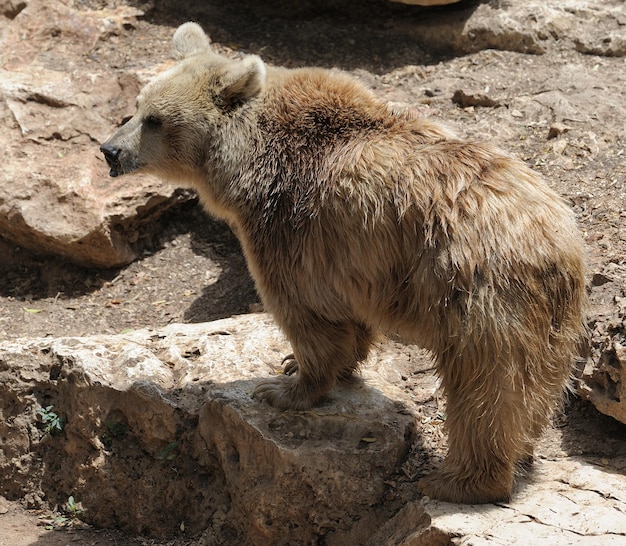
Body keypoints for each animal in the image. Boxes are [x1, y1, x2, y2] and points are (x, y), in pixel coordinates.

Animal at [101, 23, 584, 504]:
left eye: (155, 120)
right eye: (137, 106)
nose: (109, 150)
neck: (249, 161)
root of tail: (555, 240)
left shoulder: (289, 227)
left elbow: (306, 313)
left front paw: (285, 386)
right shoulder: (344, 257)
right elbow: (345, 319)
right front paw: (296, 364)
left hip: (476, 290)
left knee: (486, 385)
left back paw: (461, 480)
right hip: (554, 318)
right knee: (535, 384)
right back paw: (521, 452)